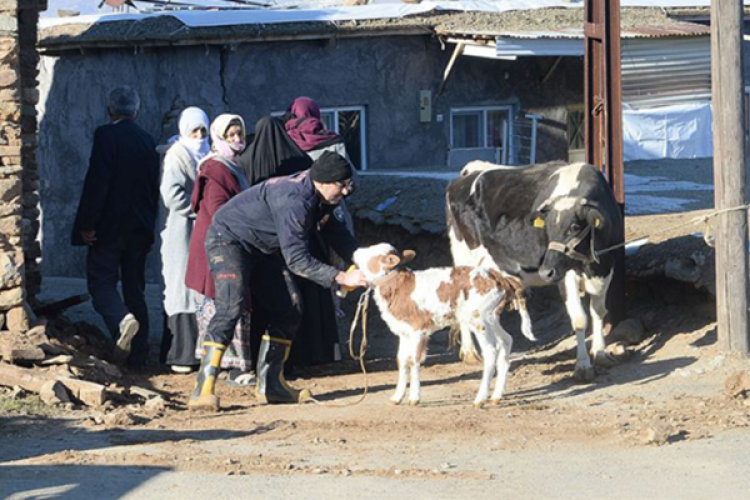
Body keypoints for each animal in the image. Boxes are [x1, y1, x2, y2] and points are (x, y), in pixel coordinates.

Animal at [352, 244, 536, 408]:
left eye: (372, 252)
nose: (355, 250)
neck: (399, 287)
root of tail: (498, 276)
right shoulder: (404, 331)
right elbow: (402, 360)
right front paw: (397, 397)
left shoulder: (418, 329)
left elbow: (413, 360)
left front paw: (414, 398)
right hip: (492, 318)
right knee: (506, 340)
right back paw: (496, 397)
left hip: (479, 319)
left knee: (491, 350)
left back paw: (480, 399)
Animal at [450, 162, 624, 380]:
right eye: (547, 228)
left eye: (574, 227)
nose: (546, 271)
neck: (591, 265)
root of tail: (471, 170)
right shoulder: (566, 275)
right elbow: (579, 319)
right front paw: (583, 366)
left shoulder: (607, 266)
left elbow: (598, 311)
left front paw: (600, 352)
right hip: (464, 260)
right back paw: (470, 353)